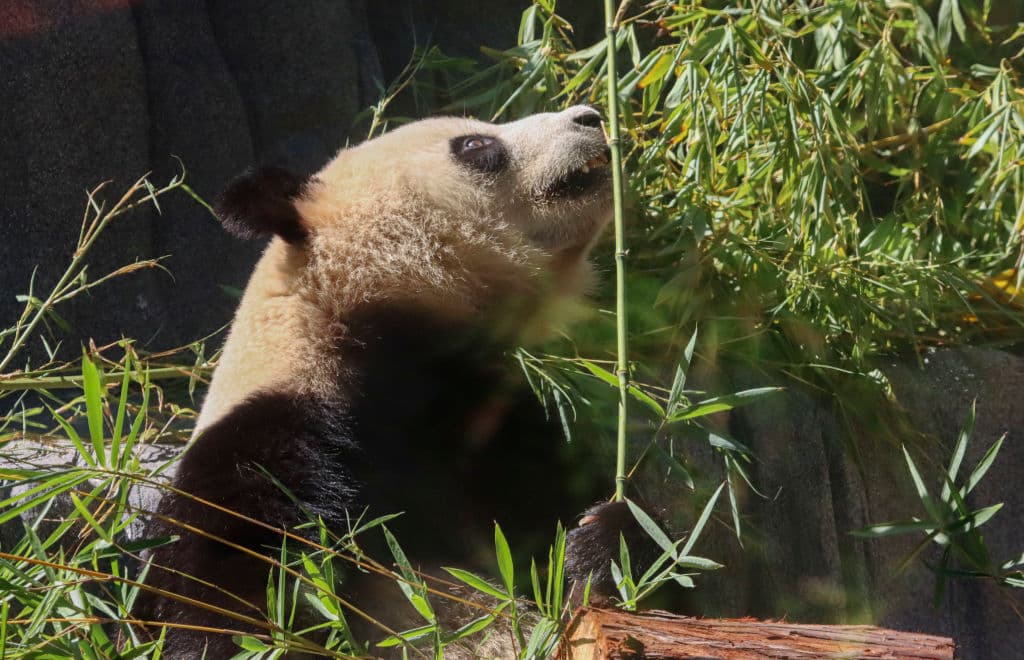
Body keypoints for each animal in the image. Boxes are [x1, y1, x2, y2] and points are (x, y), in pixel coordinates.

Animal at [136, 106, 657, 657]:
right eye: (474, 145)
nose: (590, 115)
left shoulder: (489, 426)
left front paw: (604, 540)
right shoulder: (264, 444)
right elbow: (231, 600)